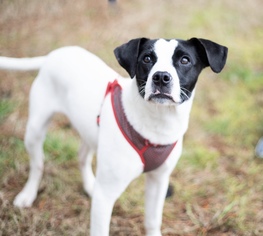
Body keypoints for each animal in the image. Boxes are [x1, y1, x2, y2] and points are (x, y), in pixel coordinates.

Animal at [0, 37, 227, 235]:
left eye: (184, 60)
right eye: (147, 58)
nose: (161, 77)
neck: (157, 122)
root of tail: (54, 54)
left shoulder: (159, 180)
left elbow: (153, 220)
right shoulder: (106, 195)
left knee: (82, 156)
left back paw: (89, 186)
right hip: (35, 128)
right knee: (38, 164)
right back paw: (27, 194)